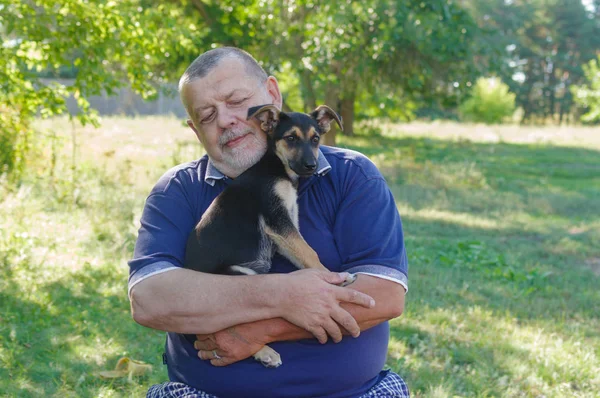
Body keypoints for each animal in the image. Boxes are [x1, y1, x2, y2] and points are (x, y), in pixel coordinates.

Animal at [185, 105, 350, 366]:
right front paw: (333, 278)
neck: (277, 167)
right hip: (236, 278)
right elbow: (310, 252)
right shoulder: (277, 220)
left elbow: (302, 256)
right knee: (224, 329)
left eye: (316, 139)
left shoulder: (284, 232)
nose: (311, 166)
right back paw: (264, 351)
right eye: (291, 138)